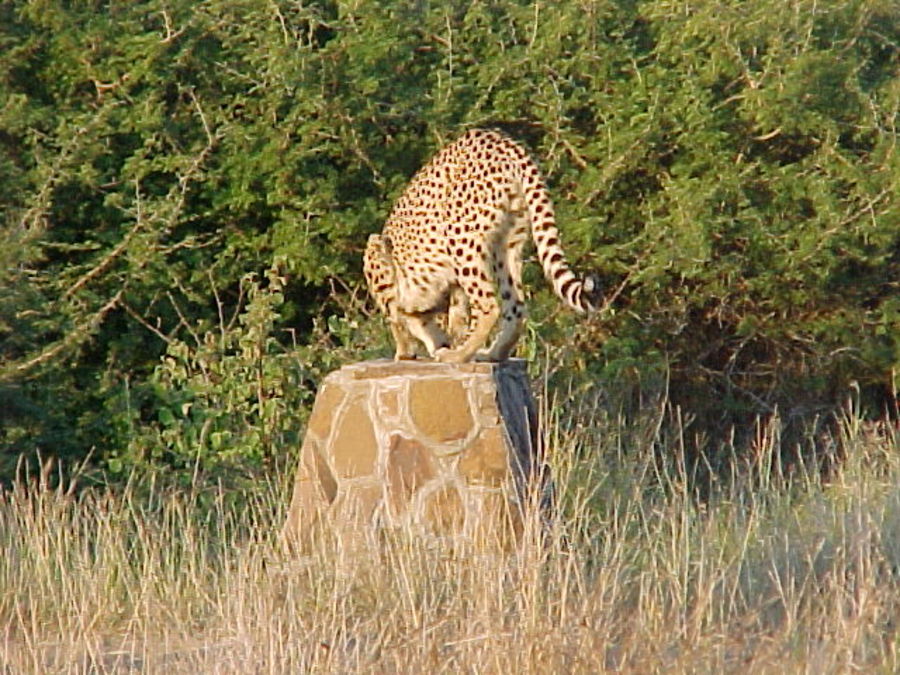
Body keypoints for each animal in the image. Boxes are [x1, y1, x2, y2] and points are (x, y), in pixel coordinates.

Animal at [362, 131, 600, 364]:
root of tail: (504, 141)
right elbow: (448, 317)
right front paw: (439, 342)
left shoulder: (387, 275)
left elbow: (399, 319)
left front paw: (407, 350)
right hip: (506, 245)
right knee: (516, 307)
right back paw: (493, 353)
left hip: (461, 236)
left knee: (489, 306)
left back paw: (459, 355)